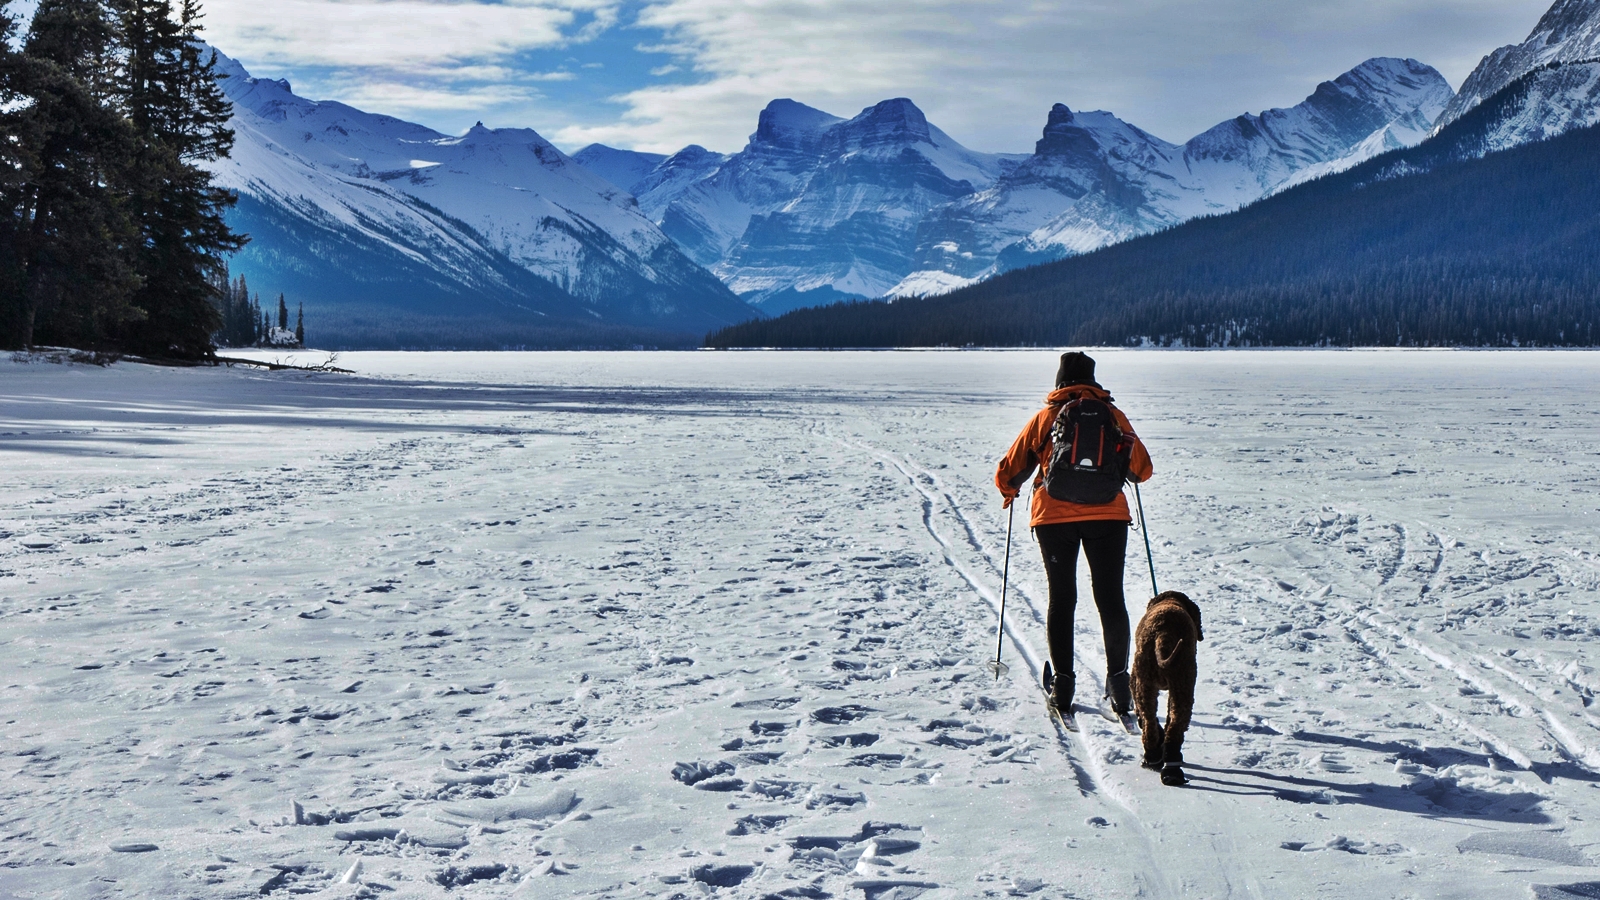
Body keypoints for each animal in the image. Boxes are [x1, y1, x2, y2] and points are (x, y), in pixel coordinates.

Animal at [1126, 586, 1203, 781]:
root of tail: (1163, 634)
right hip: (1181, 684)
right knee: (1172, 725)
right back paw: (1170, 768)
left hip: (1145, 682)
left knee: (1150, 724)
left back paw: (1153, 759)